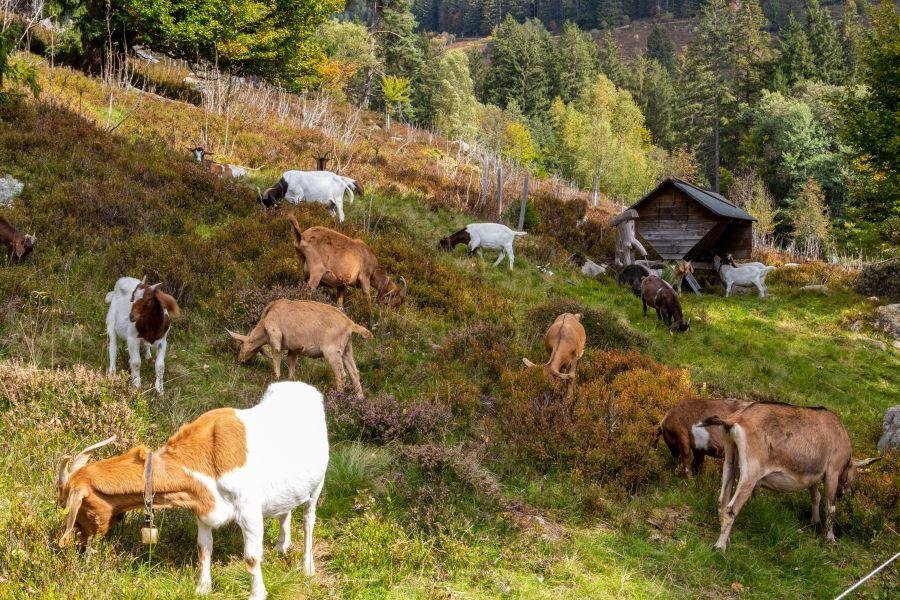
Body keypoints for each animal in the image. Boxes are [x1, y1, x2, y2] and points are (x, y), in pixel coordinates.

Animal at [53, 382, 326, 596]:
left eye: (74, 507)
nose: (80, 545)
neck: (206, 455)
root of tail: (305, 388)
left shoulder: (249, 510)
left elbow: (251, 557)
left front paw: (257, 593)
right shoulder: (203, 509)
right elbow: (204, 548)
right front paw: (202, 588)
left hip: (319, 484)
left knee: (308, 520)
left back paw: (307, 567)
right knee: (285, 511)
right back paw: (281, 546)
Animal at [232, 300, 376, 398]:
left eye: (241, 346)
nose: (240, 361)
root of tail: (350, 324)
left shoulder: (275, 335)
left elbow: (276, 355)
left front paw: (276, 376)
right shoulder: (294, 348)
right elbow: (291, 363)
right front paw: (290, 380)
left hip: (332, 352)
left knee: (341, 375)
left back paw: (337, 396)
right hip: (346, 350)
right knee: (354, 373)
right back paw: (360, 398)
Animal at [700, 400, 884, 552]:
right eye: (849, 478)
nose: (842, 493)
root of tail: (735, 419)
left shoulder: (813, 474)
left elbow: (815, 496)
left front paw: (815, 522)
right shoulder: (832, 471)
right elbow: (830, 507)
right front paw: (830, 538)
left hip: (730, 459)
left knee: (722, 501)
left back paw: (726, 539)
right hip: (751, 471)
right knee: (731, 508)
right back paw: (720, 547)